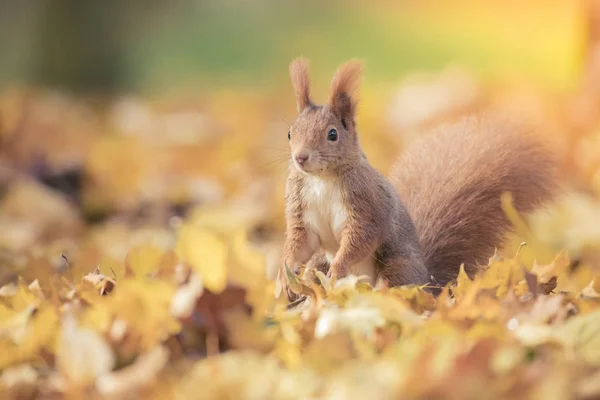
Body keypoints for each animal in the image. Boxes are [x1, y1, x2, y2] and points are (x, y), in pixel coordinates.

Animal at [278, 57, 560, 300]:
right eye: (290, 133)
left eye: (333, 134)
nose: (300, 158)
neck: (321, 179)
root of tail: (430, 283)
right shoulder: (301, 205)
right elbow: (300, 242)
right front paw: (285, 275)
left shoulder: (367, 205)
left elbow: (359, 238)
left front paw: (338, 269)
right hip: (319, 263)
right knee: (315, 270)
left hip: (398, 266)